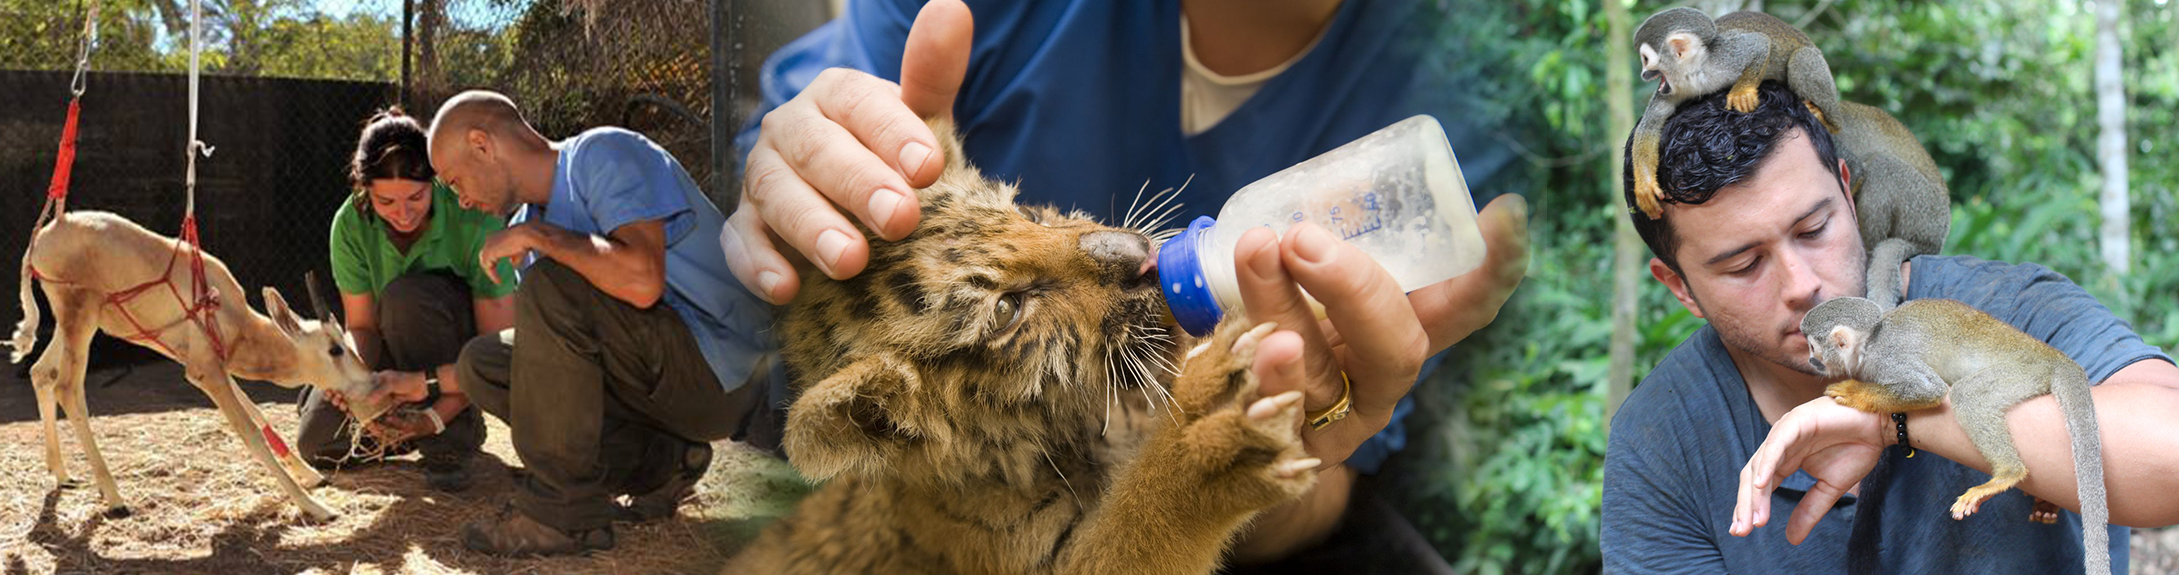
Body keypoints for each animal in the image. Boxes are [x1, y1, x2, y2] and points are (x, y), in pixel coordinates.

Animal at [10, 211, 394, 520]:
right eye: (335, 349)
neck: (227, 311)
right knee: (67, 388)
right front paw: (317, 507)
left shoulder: (214, 362)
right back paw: (115, 498)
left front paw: (311, 475)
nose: (376, 386)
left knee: (40, 372)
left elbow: (257, 411)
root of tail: (42, 238)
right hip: (80, 319)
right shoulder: (206, 372)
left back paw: (62, 474)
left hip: (72, 327)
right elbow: (250, 433)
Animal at [1786, 296, 2109, 575]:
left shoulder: (1885, 360)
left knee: (1967, 395)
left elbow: (1930, 390)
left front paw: (1854, 392)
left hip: (2021, 374)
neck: (1871, 341)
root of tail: (2053, 356)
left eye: (1813, 347)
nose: (1812, 360)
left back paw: (2007, 473)